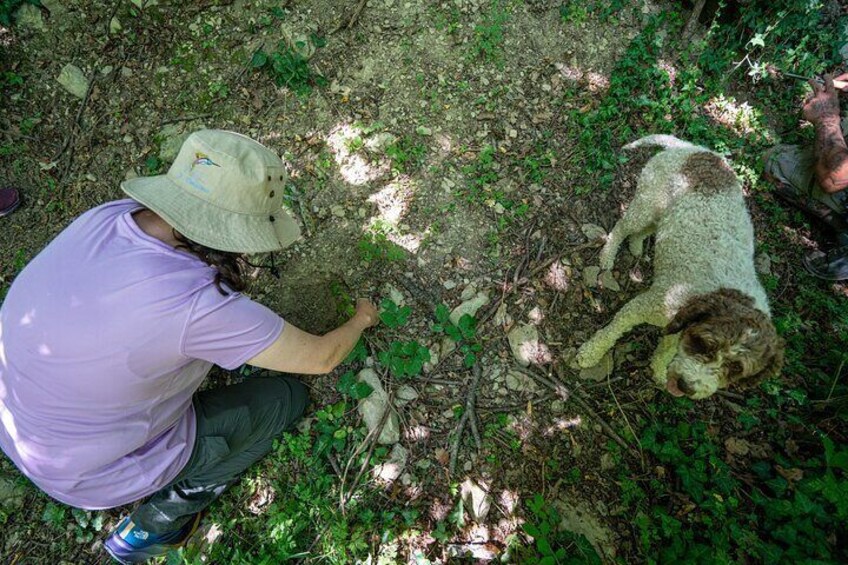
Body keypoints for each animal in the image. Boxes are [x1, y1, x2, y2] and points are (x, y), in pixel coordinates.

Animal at [572, 134, 784, 398]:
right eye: (706, 344)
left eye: (736, 368)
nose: (686, 386)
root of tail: (691, 148)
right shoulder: (646, 305)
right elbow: (613, 330)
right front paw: (591, 353)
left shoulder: (678, 327)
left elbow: (666, 349)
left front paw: (658, 369)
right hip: (647, 202)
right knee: (622, 226)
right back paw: (608, 255)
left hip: (661, 214)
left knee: (647, 230)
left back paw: (636, 246)